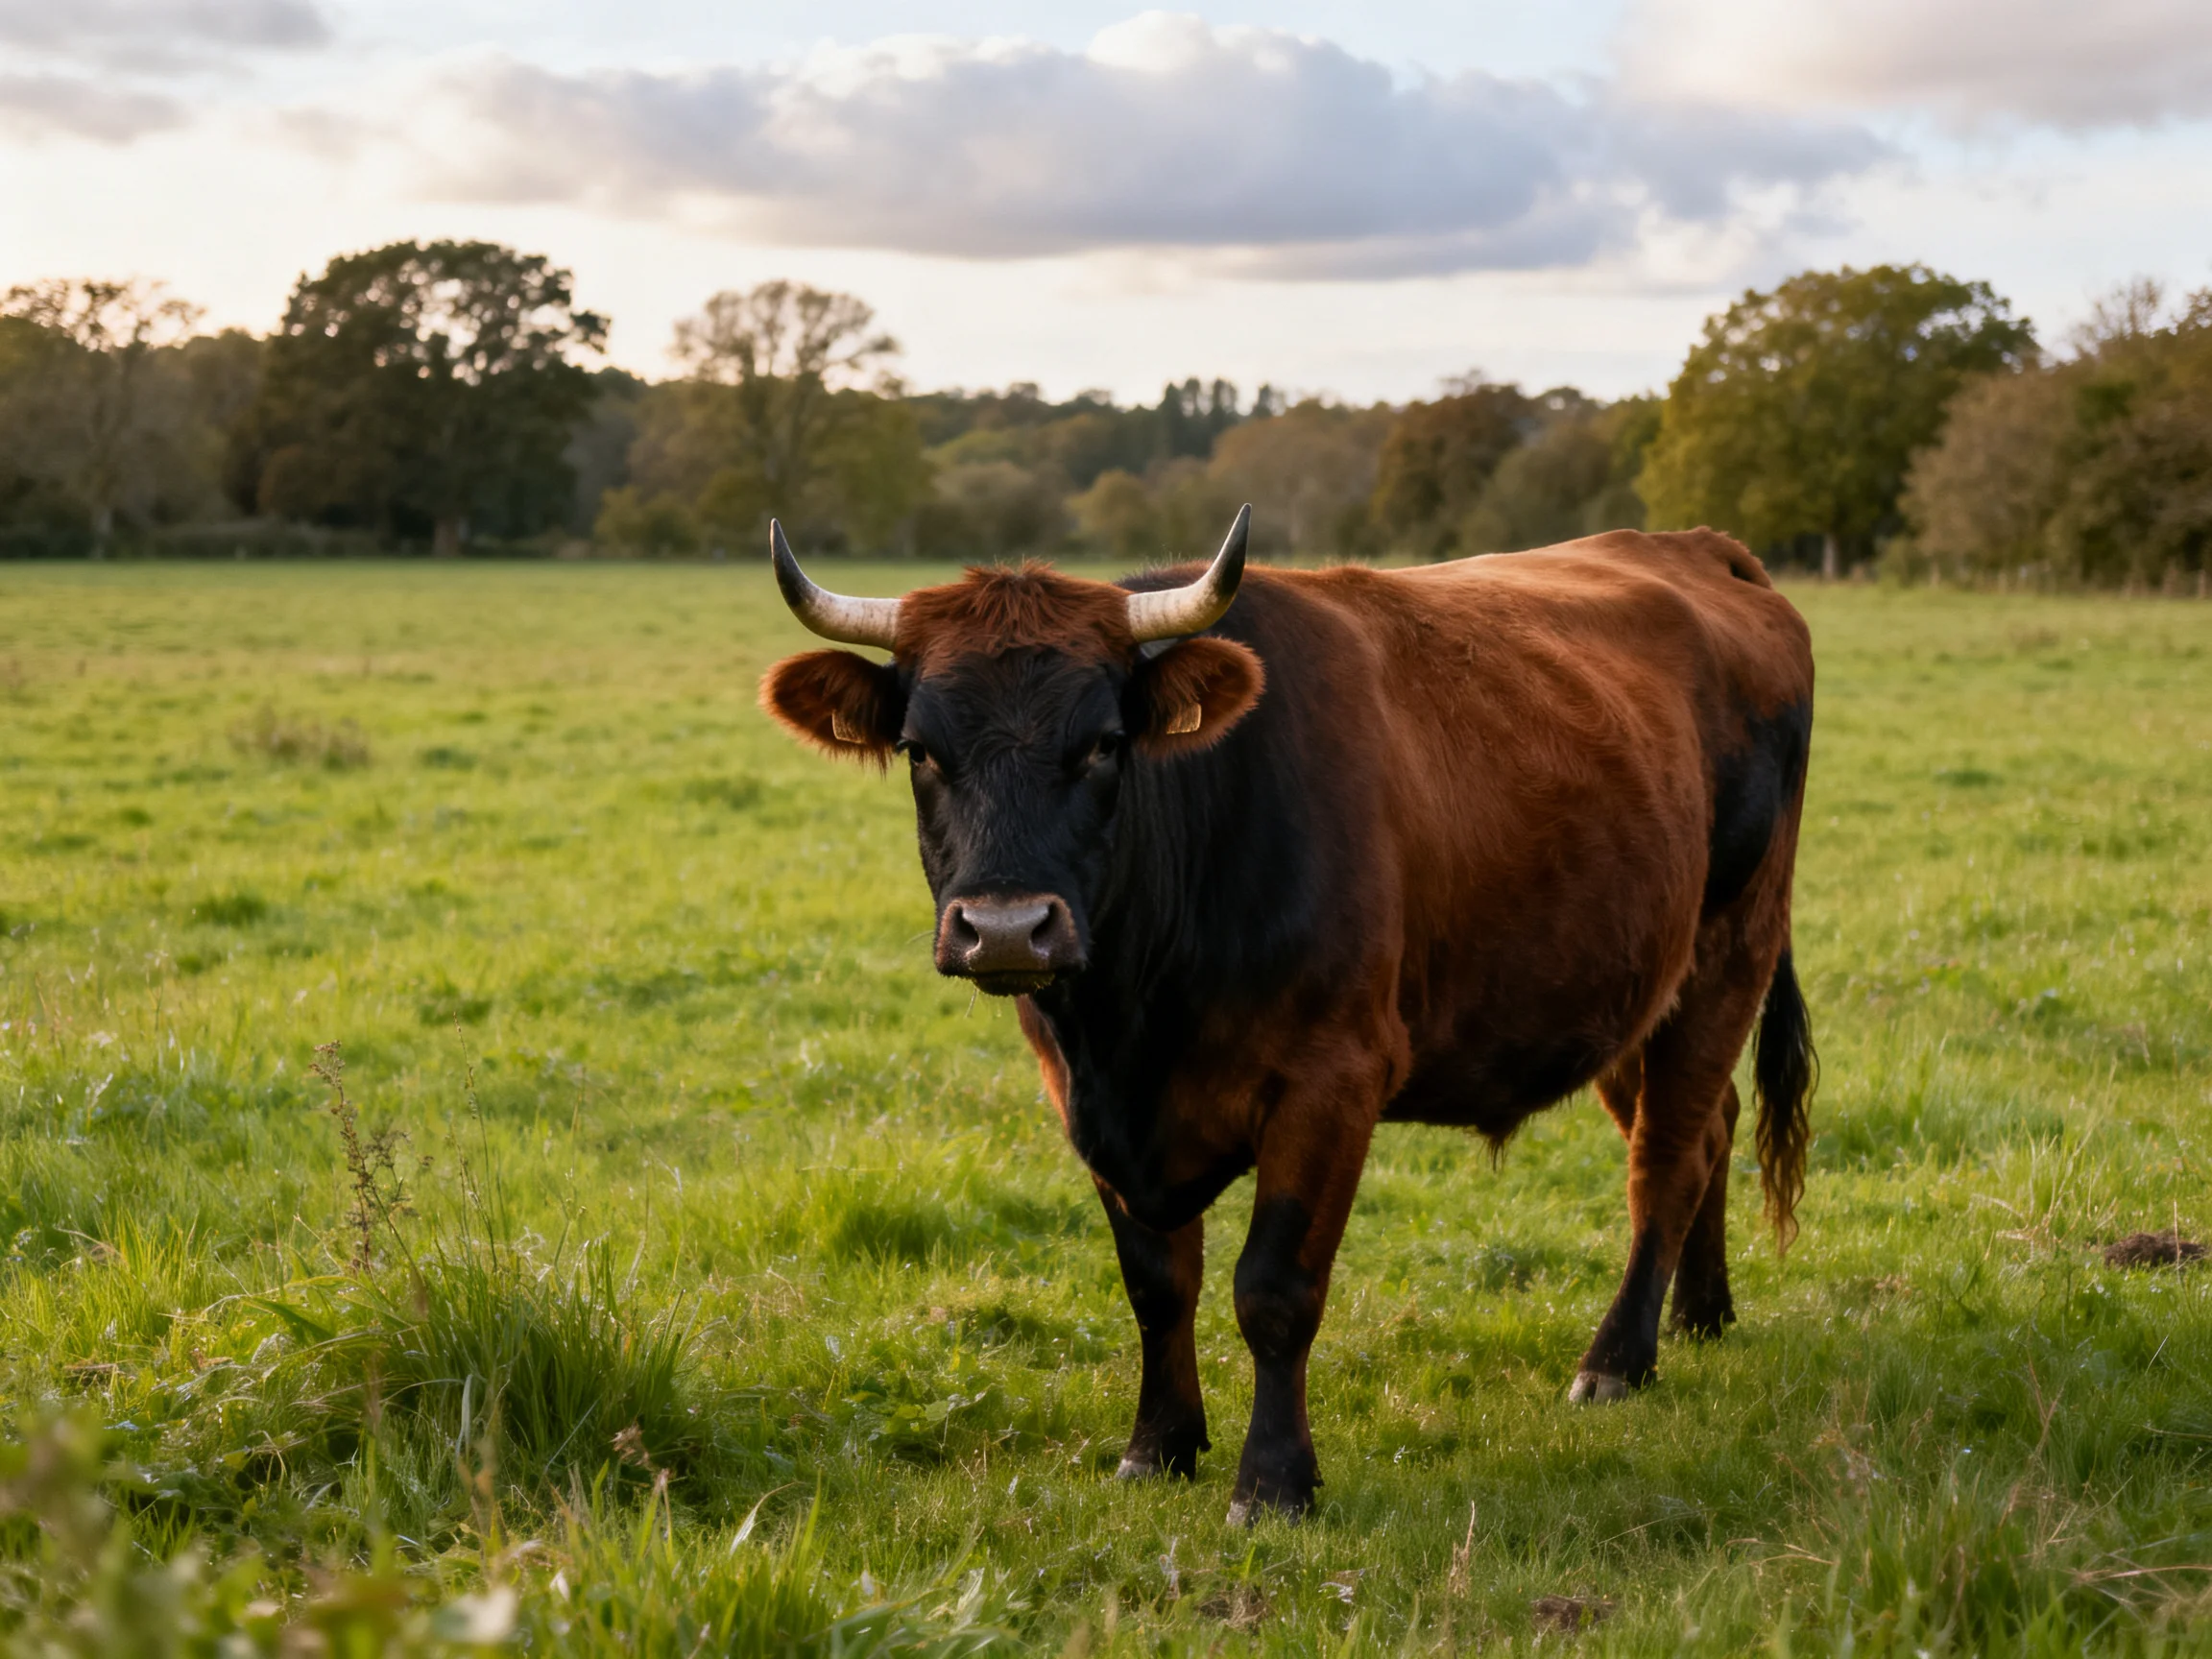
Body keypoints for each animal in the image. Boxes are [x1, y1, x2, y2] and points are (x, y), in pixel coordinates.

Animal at [757, 508, 1816, 1524]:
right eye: (919, 751)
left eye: (1103, 744)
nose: (1009, 929)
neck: (1133, 1018)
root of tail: (1695, 548)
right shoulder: (1086, 1099)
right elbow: (1157, 1285)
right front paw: (1159, 1448)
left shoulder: (1331, 1080)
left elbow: (1272, 1290)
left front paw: (1273, 1484)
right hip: (1625, 987)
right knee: (1708, 1128)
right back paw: (1700, 1315)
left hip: (1730, 948)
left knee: (1666, 1157)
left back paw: (1617, 1358)